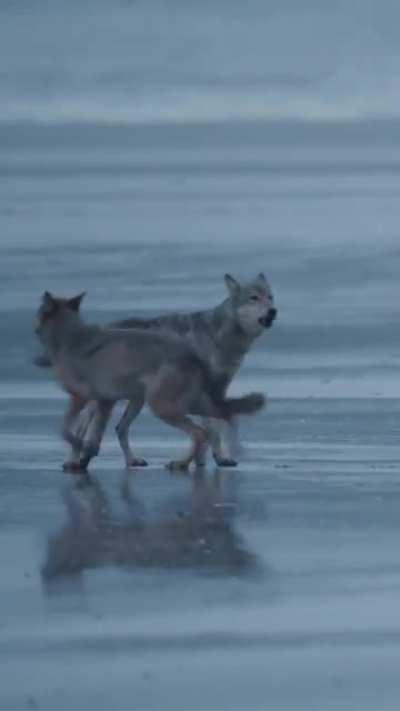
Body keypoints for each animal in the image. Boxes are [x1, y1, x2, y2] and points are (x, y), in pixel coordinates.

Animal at [36, 273, 277, 467]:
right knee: (84, 426)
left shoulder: (218, 391)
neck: (221, 336)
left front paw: (207, 459)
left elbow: (216, 425)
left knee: (118, 428)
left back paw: (130, 460)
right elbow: (212, 430)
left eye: (270, 296)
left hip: (136, 399)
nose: (273, 311)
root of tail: (99, 328)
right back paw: (73, 461)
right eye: (253, 298)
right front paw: (212, 458)